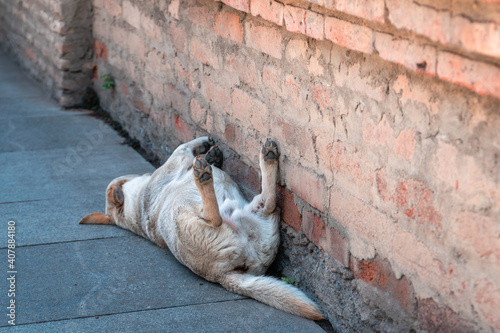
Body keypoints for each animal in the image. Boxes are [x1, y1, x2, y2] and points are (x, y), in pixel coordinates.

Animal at [81, 136, 324, 318]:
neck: (133, 212)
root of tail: (222, 275)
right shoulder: (173, 163)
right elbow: (181, 148)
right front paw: (203, 147)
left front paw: (212, 156)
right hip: (185, 214)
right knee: (214, 216)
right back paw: (205, 177)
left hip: (257, 213)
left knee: (269, 202)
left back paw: (266, 159)